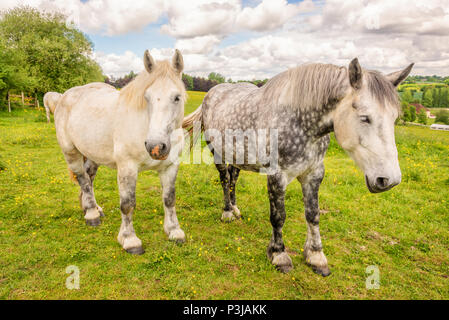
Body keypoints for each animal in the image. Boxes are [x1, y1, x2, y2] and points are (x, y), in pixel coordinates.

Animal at [54, 49, 187, 255]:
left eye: (177, 97)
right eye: (146, 97)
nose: (155, 146)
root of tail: (64, 96)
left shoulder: (170, 166)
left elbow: (169, 199)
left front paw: (174, 231)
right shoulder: (127, 168)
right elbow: (127, 205)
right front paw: (129, 240)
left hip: (93, 155)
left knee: (89, 178)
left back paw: (93, 208)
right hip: (71, 152)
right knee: (83, 180)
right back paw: (91, 215)